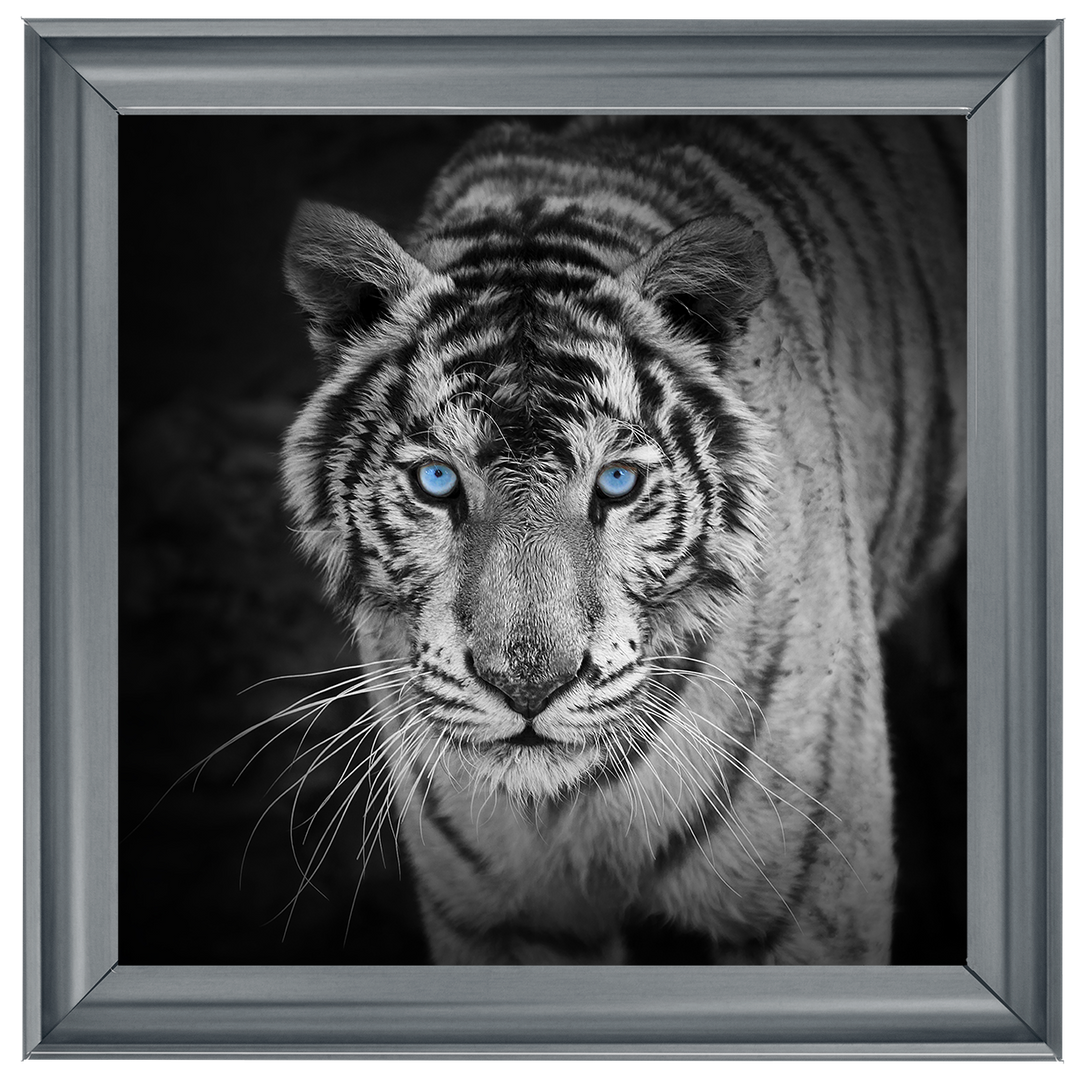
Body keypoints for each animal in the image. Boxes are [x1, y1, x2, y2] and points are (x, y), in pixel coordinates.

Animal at [280, 117, 966, 965]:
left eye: (616, 483)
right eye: (437, 481)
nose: (528, 688)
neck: (570, 804)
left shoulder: (812, 903)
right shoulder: (501, 919)